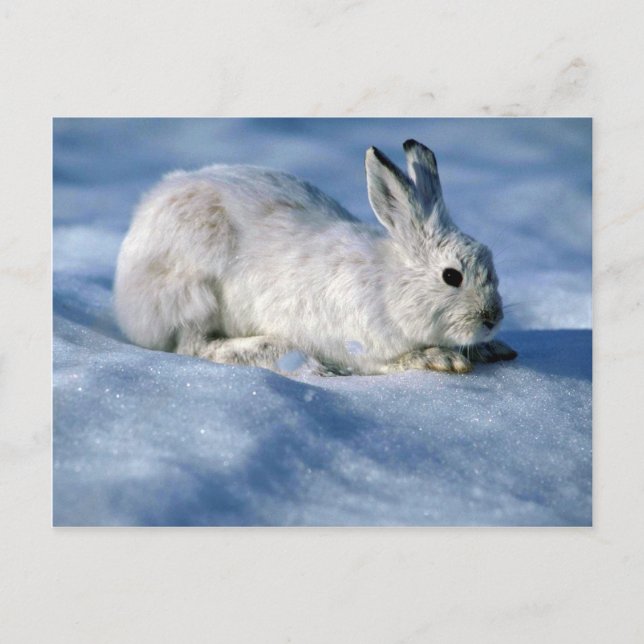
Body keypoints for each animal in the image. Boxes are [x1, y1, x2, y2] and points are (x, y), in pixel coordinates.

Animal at [114, 139, 517, 375]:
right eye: (452, 276)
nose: (492, 319)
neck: (388, 285)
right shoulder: (362, 343)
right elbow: (389, 362)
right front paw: (438, 359)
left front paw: (493, 350)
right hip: (191, 292)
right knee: (193, 345)